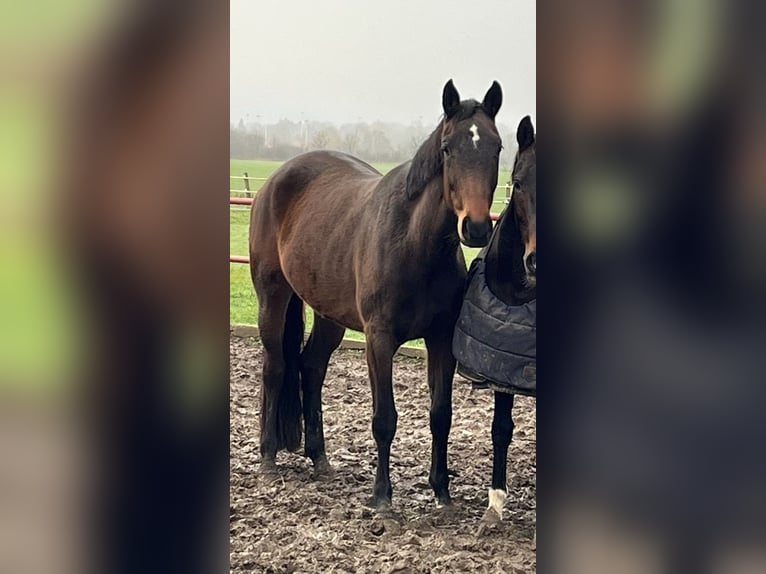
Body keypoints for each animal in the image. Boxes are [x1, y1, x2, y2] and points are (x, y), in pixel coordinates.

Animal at [249, 81, 508, 512]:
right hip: (273, 297)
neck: (415, 244)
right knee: (276, 367)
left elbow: (441, 414)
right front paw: (382, 495)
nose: (474, 228)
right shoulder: (379, 339)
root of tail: (276, 180)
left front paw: (442, 491)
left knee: (310, 367)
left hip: (329, 315)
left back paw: (320, 458)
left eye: (498, 147)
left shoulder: (441, 339)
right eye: (447, 148)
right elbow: (385, 418)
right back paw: (268, 457)